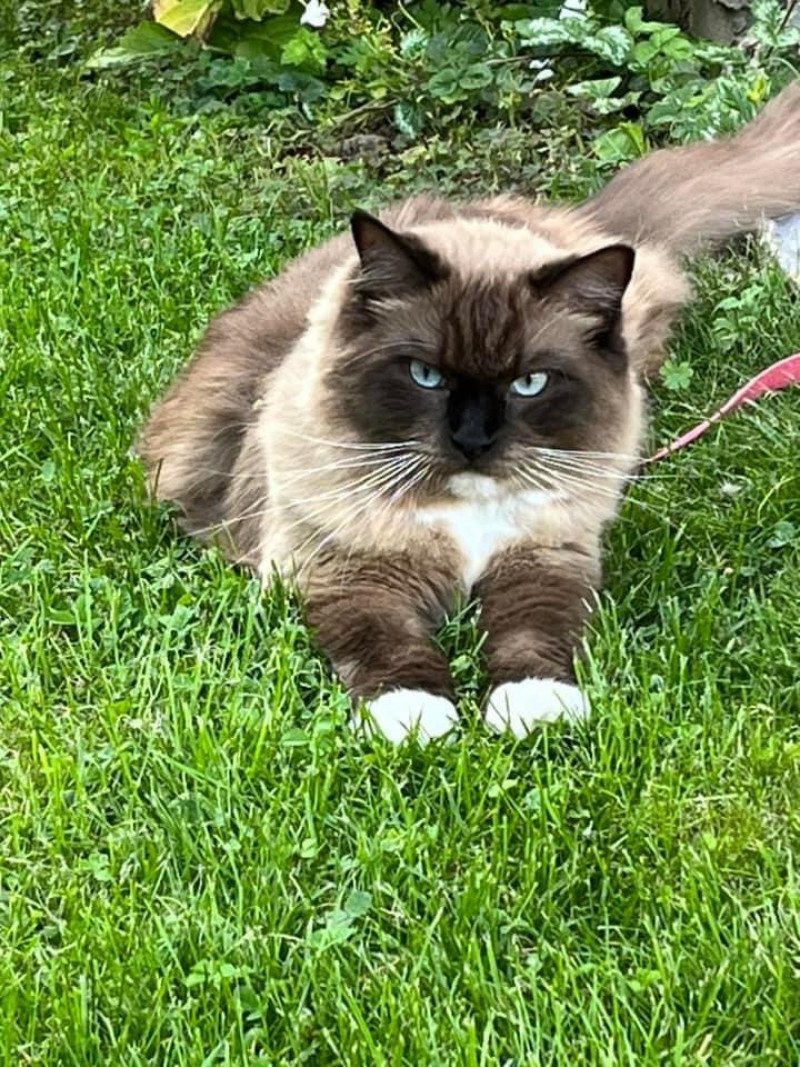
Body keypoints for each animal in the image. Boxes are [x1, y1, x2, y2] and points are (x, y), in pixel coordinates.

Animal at [140, 83, 800, 742]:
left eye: (529, 383)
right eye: (426, 375)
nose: (473, 439)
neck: (467, 514)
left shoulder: (545, 557)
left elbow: (532, 635)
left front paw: (534, 709)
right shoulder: (346, 572)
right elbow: (387, 643)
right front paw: (415, 719)